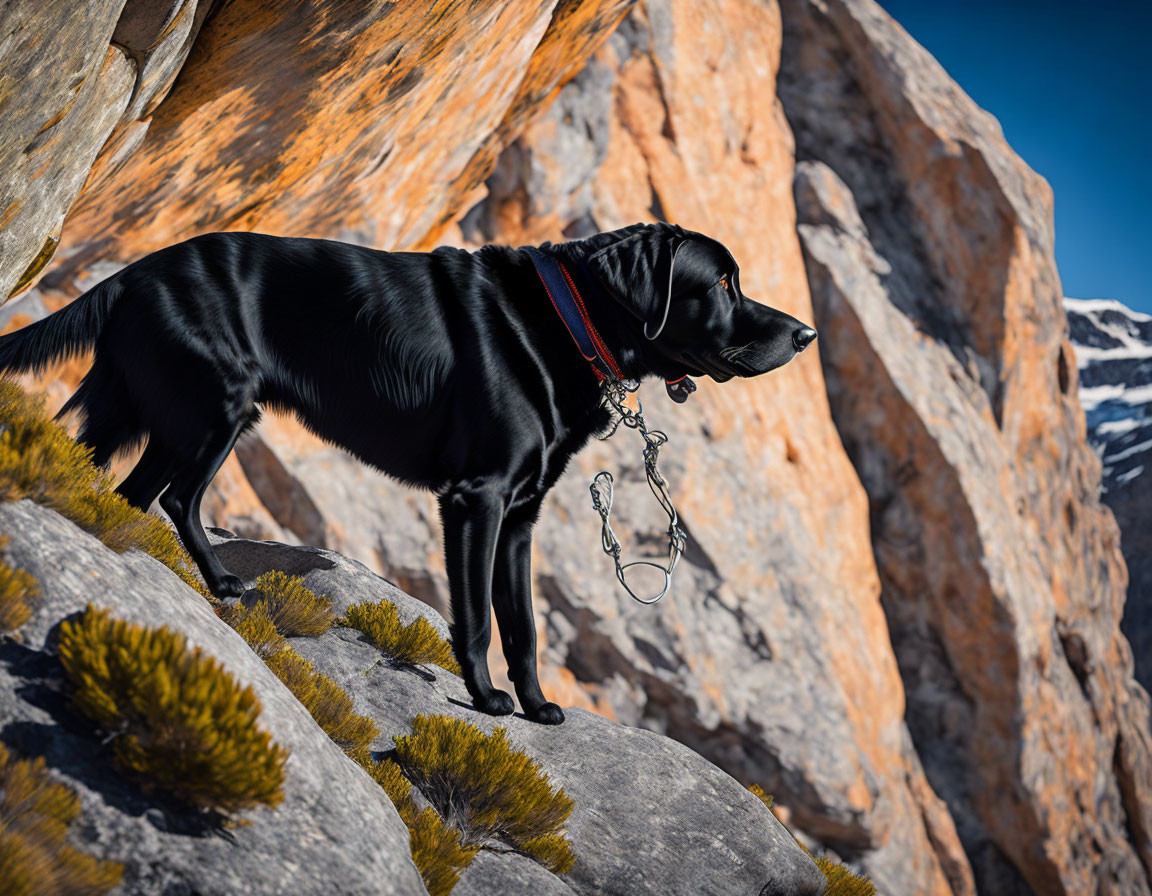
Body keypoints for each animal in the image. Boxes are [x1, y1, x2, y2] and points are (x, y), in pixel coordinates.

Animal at [0, 223, 815, 727]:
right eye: (723, 284)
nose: (805, 333)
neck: (567, 320)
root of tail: (130, 274)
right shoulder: (477, 499)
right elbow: (478, 617)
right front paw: (486, 699)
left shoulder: (521, 516)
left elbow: (522, 624)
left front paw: (536, 704)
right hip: (214, 409)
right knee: (173, 495)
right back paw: (220, 582)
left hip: (148, 412)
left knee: (129, 494)